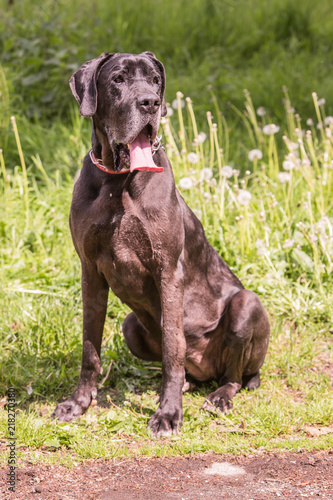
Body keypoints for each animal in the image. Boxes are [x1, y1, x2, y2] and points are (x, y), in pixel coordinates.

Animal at [53, 49, 268, 434]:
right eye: (118, 79)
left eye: (155, 80)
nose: (150, 102)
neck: (117, 181)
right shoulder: (90, 271)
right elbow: (90, 346)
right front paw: (78, 404)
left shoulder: (167, 270)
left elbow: (172, 346)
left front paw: (168, 413)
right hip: (130, 327)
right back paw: (188, 384)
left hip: (246, 306)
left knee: (232, 376)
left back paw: (218, 397)